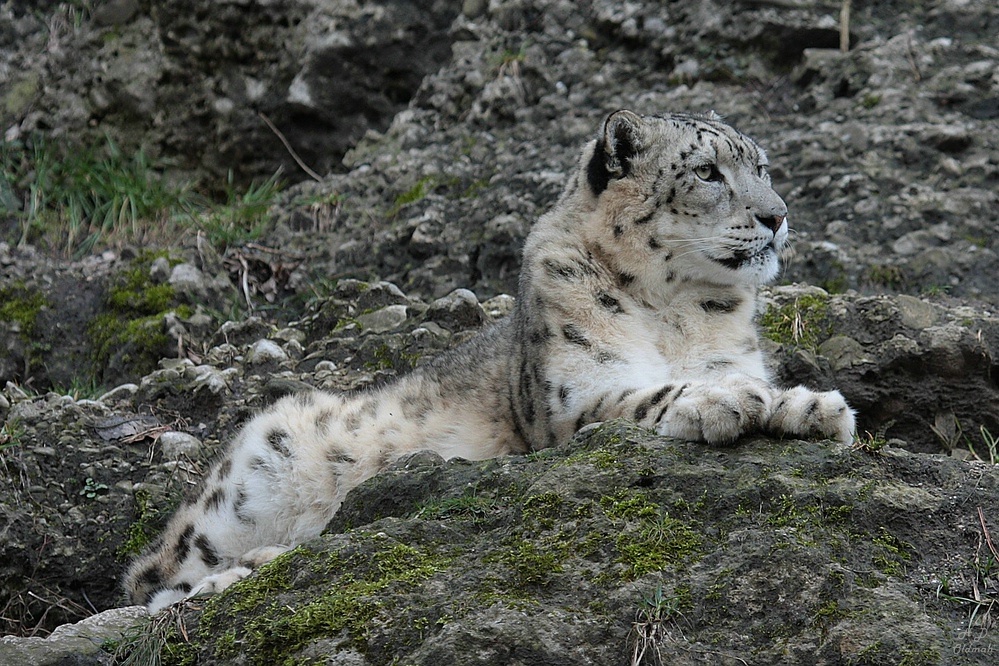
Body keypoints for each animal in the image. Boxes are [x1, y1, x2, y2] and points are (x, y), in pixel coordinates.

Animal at [125, 110, 856, 612]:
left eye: (762, 168)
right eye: (707, 172)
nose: (777, 216)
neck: (677, 312)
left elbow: (752, 383)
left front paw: (812, 407)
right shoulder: (569, 403)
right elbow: (642, 397)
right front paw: (720, 402)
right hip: (251, 480)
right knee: (149, 583)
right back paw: (224, 577)